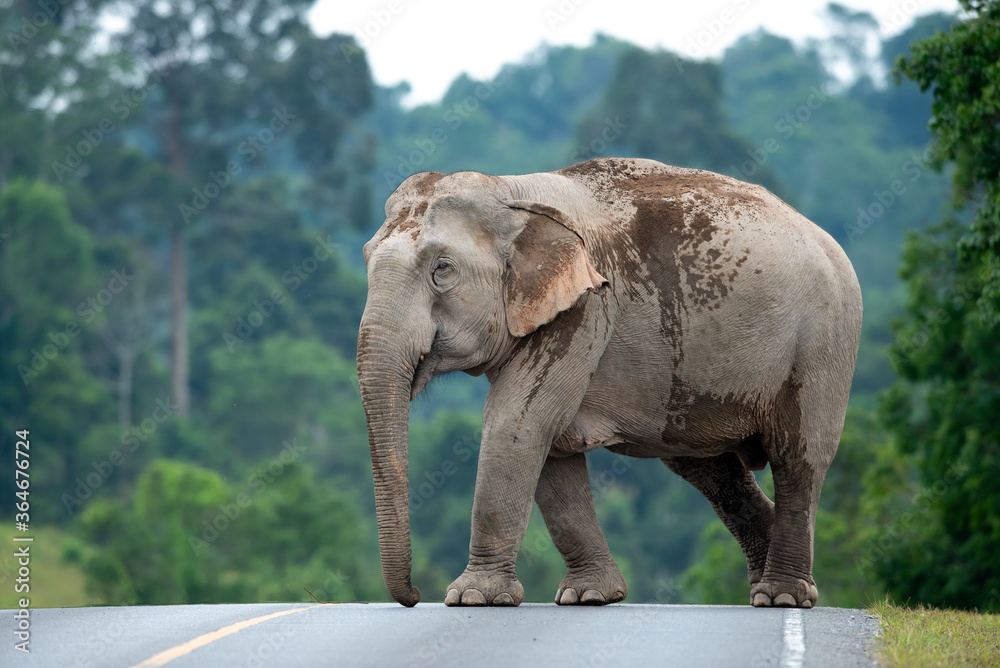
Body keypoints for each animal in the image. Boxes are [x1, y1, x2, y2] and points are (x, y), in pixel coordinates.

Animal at [357, 157, 862, 609]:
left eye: (442, 269)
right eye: (364, 260)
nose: (414, 596)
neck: (511, 189)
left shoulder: (586, 310)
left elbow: (516, 426)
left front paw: (472, 598)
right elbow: (548, 445)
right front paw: (590, 596)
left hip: (822, 346)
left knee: (798, 458)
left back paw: (783, 597)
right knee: (710, 470)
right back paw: (768, 585)